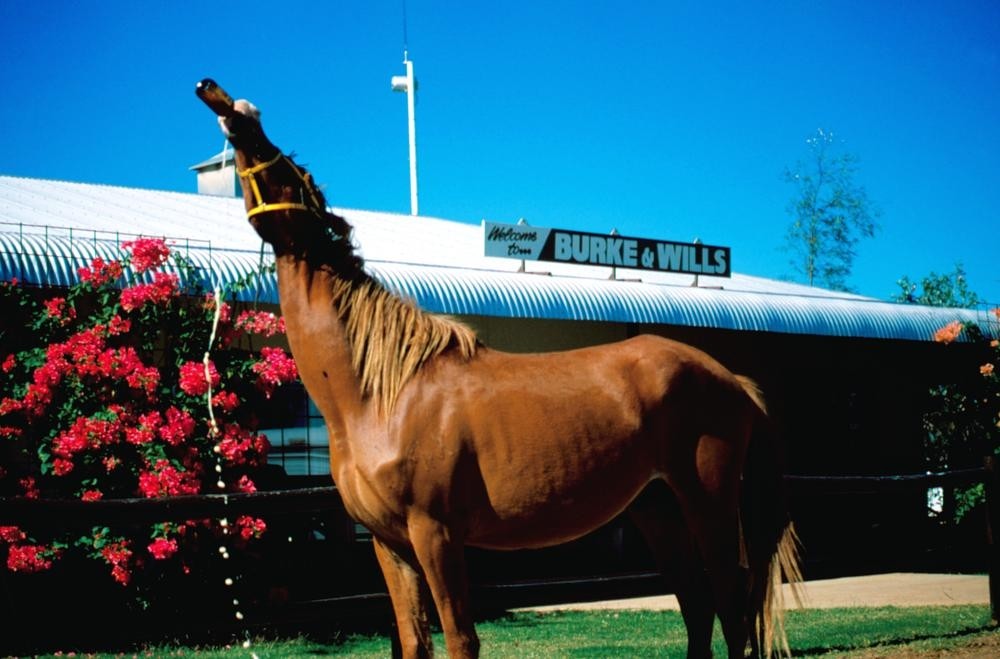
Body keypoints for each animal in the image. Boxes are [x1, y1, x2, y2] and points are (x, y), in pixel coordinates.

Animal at [197, 80, 804, 656]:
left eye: (280, 156)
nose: (216, 95)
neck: (382, 395)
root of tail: (732, 381)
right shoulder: (390, 545)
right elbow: (414, 641)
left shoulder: (435, 535)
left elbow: (461, 638)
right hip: (658, 510)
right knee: (699, 605)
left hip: (707, 501)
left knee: (731, 603)